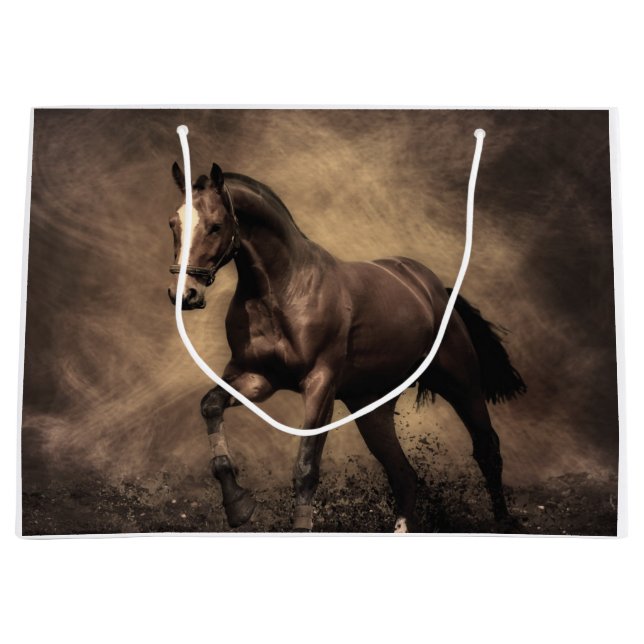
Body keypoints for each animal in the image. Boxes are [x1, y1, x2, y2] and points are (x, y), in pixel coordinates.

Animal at [167, 162, 526, 532]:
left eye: (215, 226)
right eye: (173, 224)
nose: (184, 294)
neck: (283, 290)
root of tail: (434, 289)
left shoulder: (320, 385)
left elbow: (306, 468)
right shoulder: (256, 378)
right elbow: (211, 406)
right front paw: (238, 505)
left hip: (461, 384)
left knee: (487, 448)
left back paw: (505, 523)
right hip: (372, 408)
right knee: (403, 474)